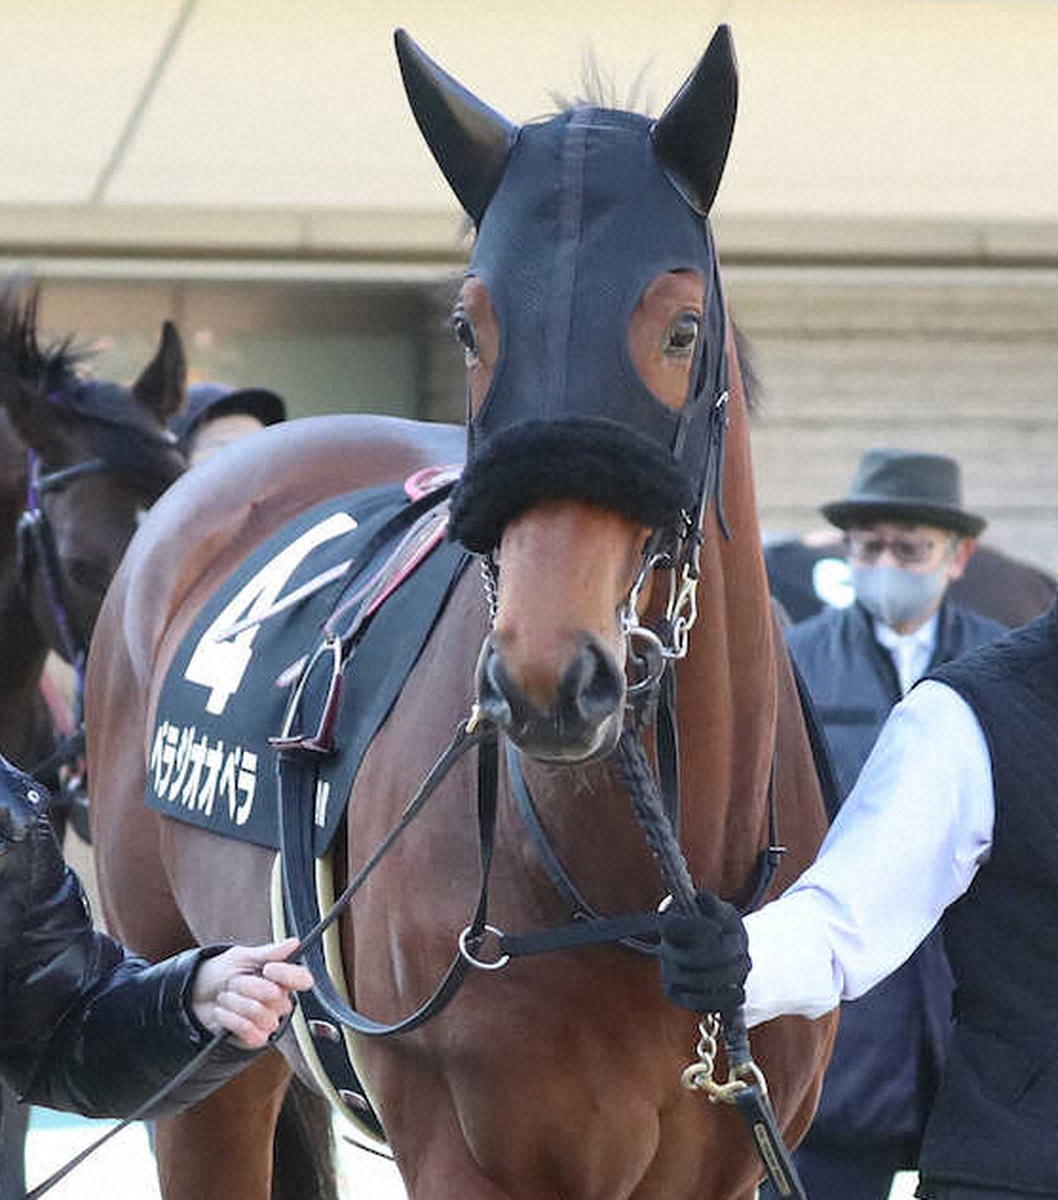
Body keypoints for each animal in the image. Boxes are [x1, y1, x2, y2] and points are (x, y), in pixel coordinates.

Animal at [86, 28, 834, 1200]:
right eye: (468, 327)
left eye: (680, 330)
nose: (547, 679)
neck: (651, 891)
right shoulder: (463, 1157)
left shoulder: (732, 1161)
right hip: (206, 1049)